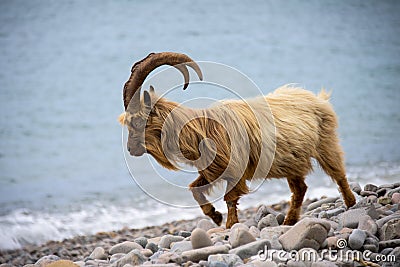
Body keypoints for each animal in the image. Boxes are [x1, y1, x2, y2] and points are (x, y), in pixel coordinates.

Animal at [119, 51, 356, 228]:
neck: (199, 130)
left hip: (325, 143)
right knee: (300, 189)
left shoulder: (235, 169)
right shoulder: (212, 169)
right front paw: (215, 216)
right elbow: (194, 189)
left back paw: (351, 203)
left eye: (137, 122)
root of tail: (318, 98)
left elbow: (230, 198)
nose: (131, 149)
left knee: (338, 173)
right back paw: (290, 221)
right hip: (292, 162)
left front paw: (230, 225)